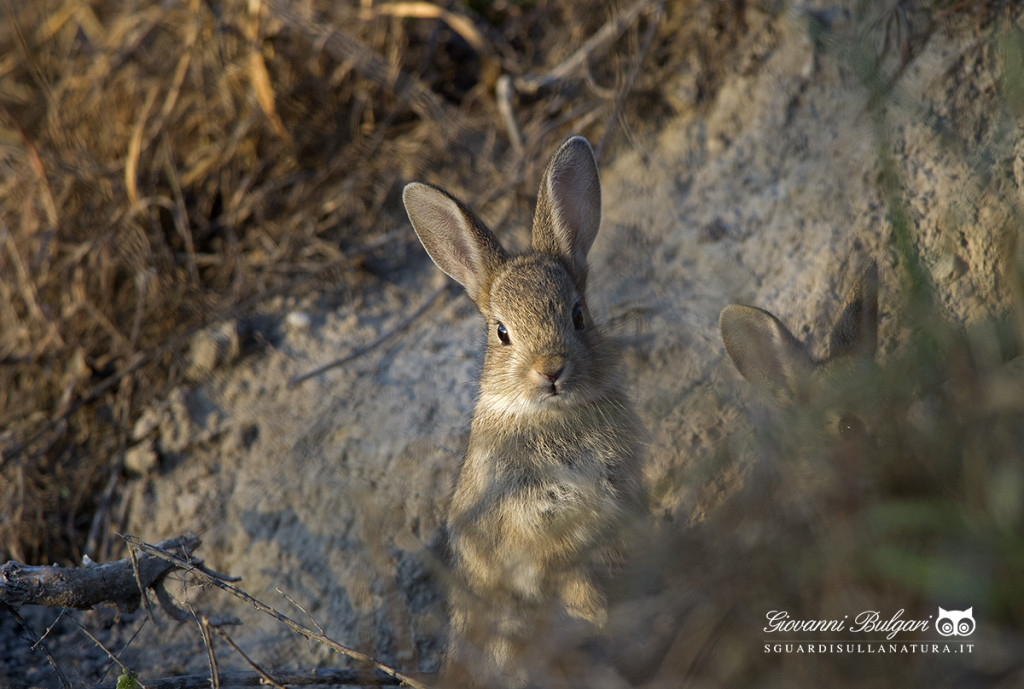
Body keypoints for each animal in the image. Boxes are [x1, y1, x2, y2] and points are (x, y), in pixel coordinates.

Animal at [403, 137, 643, 683]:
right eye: (502, 333)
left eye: (578, 316)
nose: (550, 370)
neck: (551, 416)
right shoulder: (536, 528)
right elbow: (572, 579)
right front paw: (596, 614)